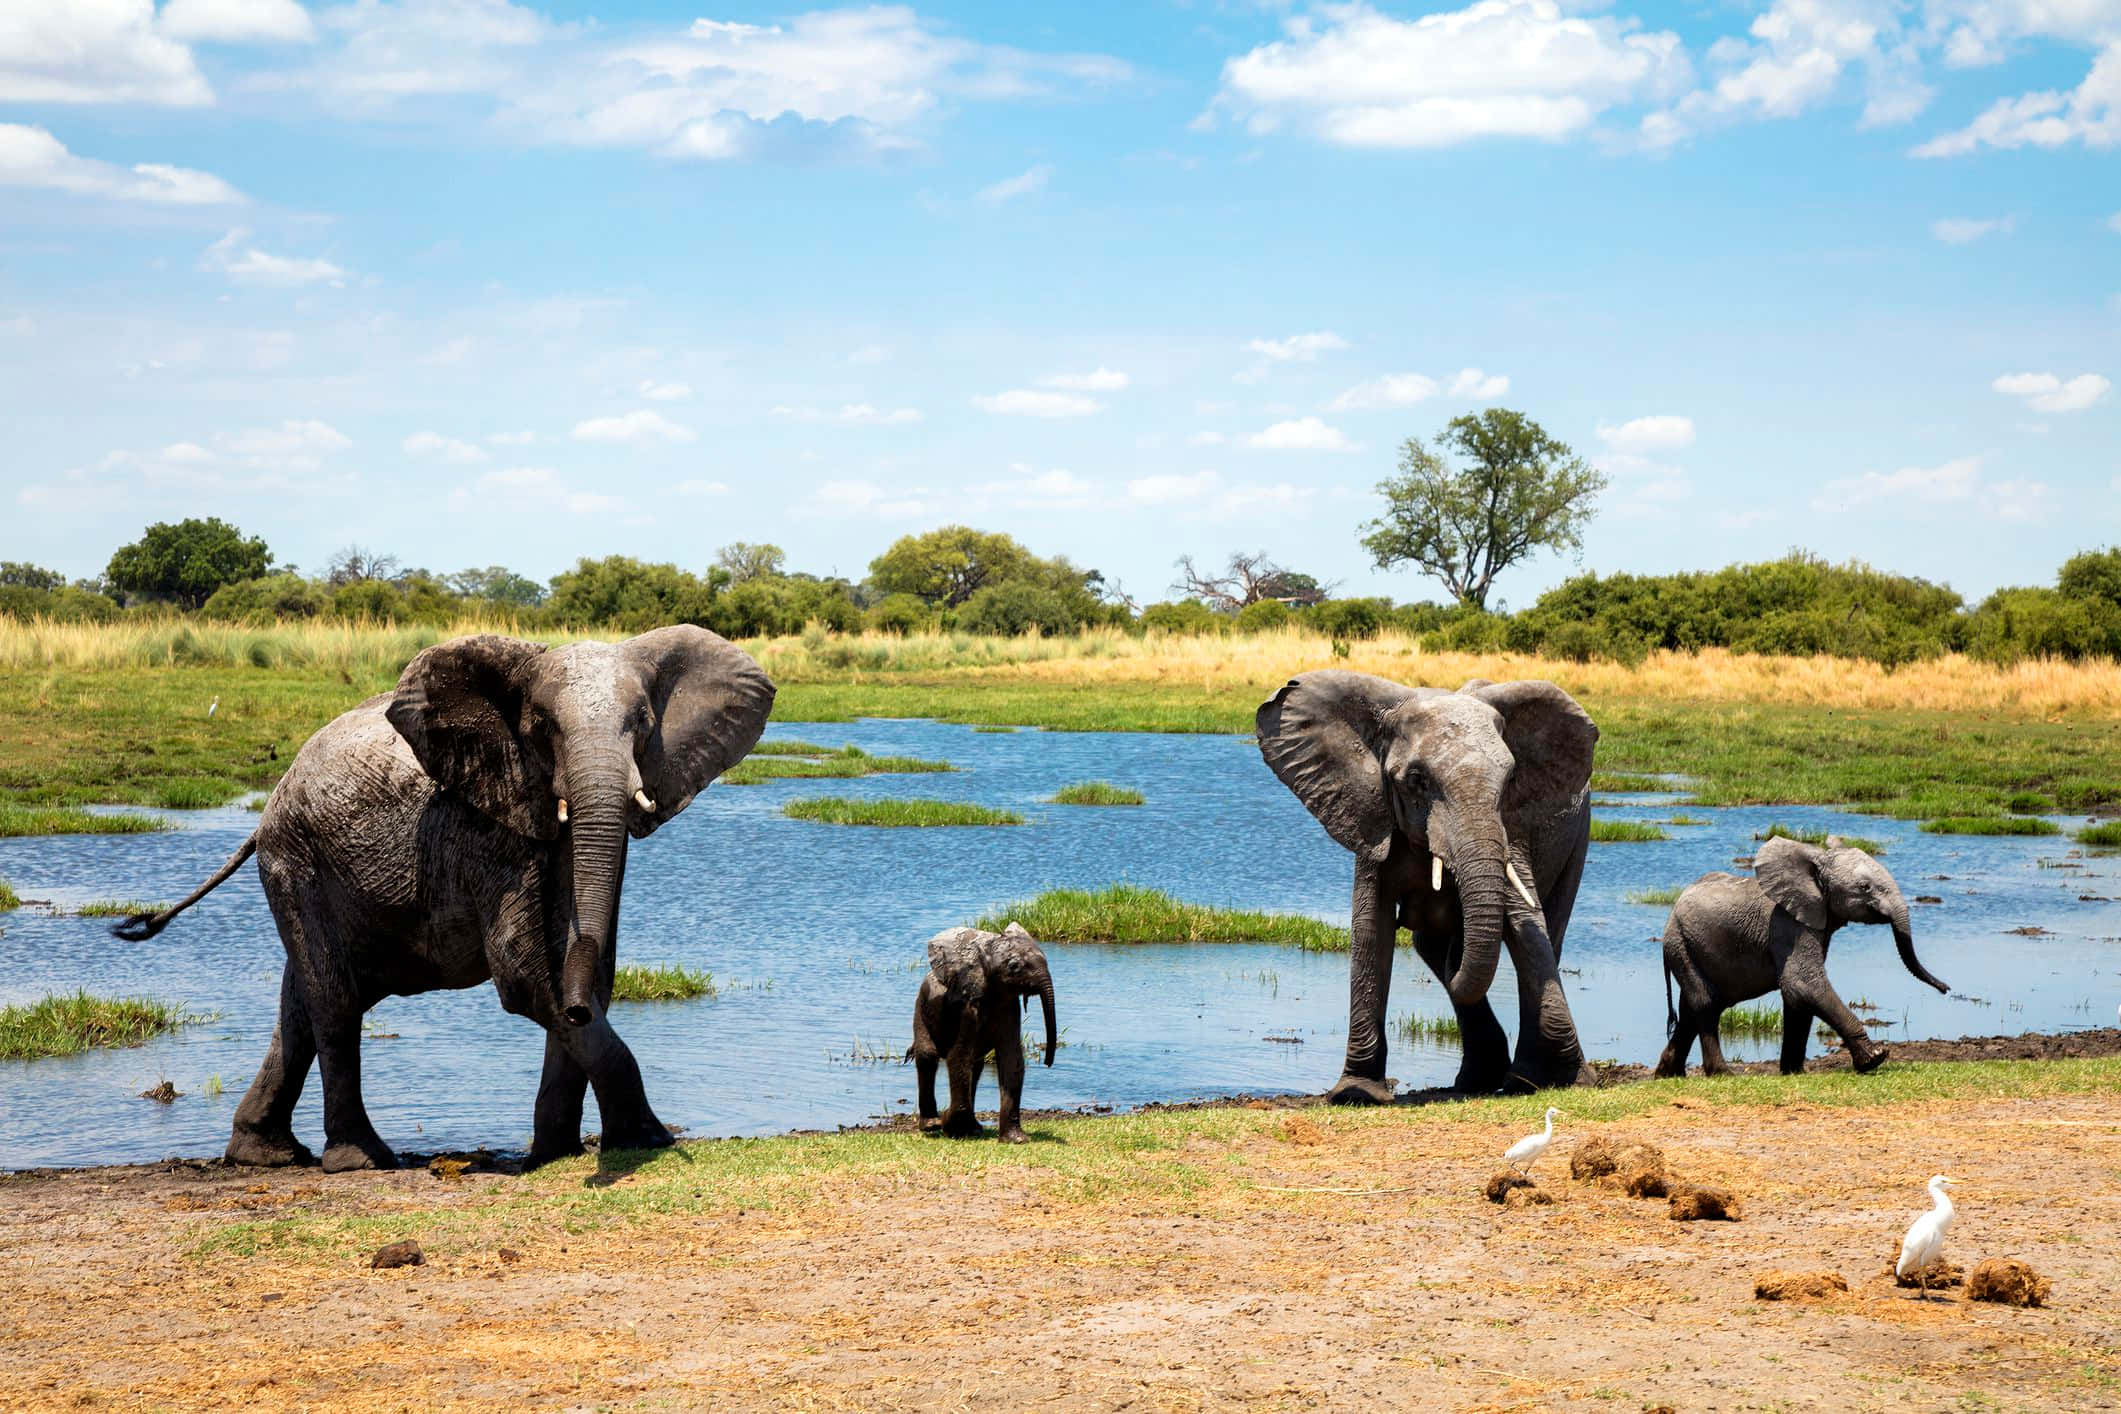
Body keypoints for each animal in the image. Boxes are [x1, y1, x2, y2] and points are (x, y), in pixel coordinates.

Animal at [113, 626, 774, 1171]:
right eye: (542, 728)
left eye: (642, 720)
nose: (577, 1011)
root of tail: (270, 803)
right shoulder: (481, 828)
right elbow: (525, 975)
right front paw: (645, 1139)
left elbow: (586, 961)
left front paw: (557, 1152)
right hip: (294, 859)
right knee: (334, 998)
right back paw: (362, 1160)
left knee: (298, 1001)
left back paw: (264, 1155)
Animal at [909, 922, 1057, 1144]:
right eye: (1014, 966)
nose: (1047, 1063)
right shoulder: (966, 1008)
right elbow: (958, 1056)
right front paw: (949, 1125)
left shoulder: (1009, 1006)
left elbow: (1011, 1058)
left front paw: (1017, 1139)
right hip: (921, 1007)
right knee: (928, 1055)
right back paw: (932, 1125)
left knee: (975, 1067)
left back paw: (972, 1129)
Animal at [1257, 672, 1600, 1101]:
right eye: (1417, 781)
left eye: (1510, 779)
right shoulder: (1371, 814)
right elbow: (1371, 928)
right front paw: (1357, 1094)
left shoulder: (1513, 823)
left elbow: (1526, 926)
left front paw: (1561, 1079)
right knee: (1432, 947)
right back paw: (1479, 1077)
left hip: (1578, 833)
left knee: (1550, 930)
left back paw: (1516, 1078)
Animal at [1654, 835, 1948, 1077]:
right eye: (1865, 887)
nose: (1946, 988)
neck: (1815, 861)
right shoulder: (1788, 926)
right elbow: (1804, 984)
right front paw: (1875, 1059)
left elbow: (1799, 996)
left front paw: (1793, 1072)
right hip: (1681, 943)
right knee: (1706, 1005)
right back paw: (1722, 1074)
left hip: (1686, 948)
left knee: (1690, 1010)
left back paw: (1668, 1075)